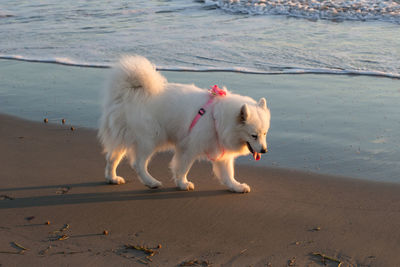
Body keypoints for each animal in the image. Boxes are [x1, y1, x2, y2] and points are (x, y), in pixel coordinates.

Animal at [98, 55, 270, 194]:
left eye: (265, 133)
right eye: (253, 135)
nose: (265, 150)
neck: (217, 120)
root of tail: (126, 94)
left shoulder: (221, 153)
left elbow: (228, 174)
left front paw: (236, 186)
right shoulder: (188, 147)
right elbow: (183, 167)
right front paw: (182, 183)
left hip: (124, 137)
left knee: (111, 158)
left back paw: (112, 178)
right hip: (149, 139)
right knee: (138, 164)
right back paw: (151, 182)